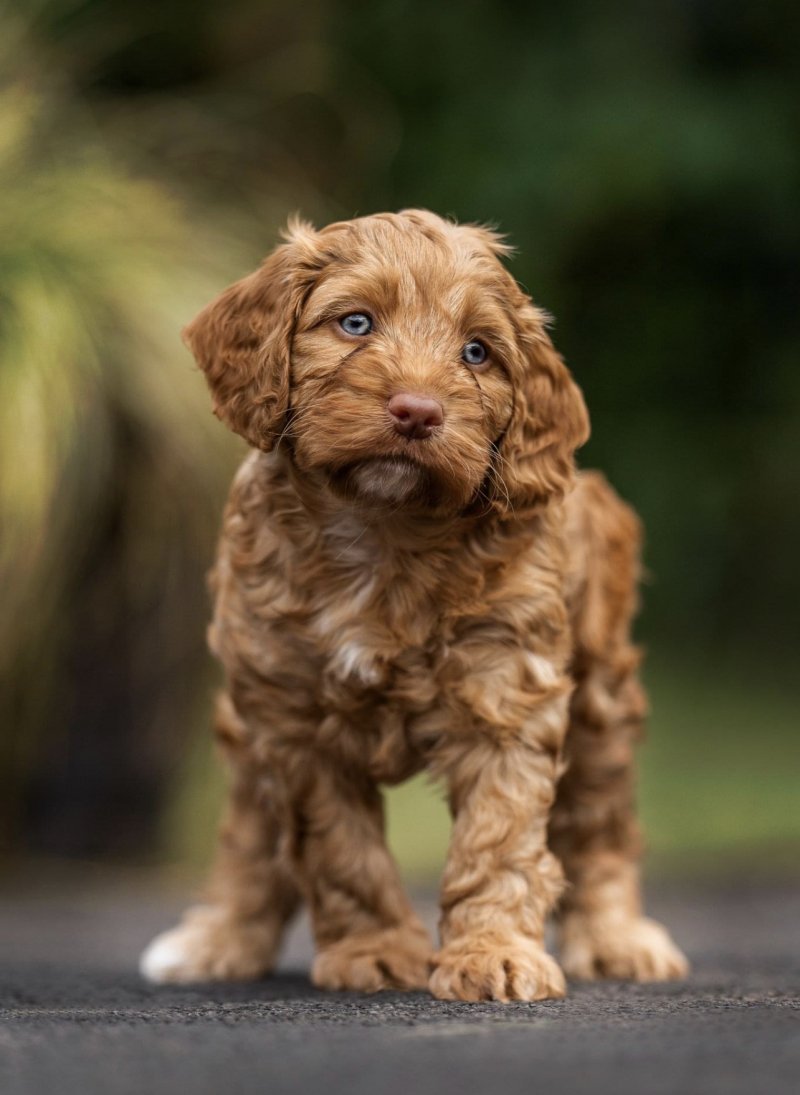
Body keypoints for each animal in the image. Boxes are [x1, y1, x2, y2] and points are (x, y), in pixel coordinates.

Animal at [138, 206, 687, 1003]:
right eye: (355, 322)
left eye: (478, 352)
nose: (418, 411)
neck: (384, 533)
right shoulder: (295, 721)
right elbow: (339, 849)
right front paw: (372, 949)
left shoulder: (508, 691)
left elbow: (500, 837)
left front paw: (493, 952)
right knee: (248, 828)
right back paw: (221, 936)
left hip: (600, 697)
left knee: (600, 822)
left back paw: (618, 937)